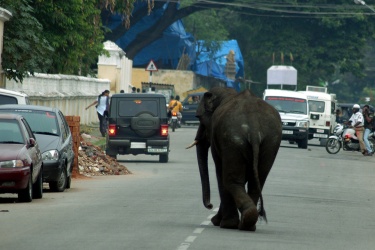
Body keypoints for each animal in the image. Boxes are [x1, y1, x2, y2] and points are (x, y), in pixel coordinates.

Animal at [188, 87, 282, 231]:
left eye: (199, 118)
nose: (210, 205)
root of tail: (254, 127)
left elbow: (220, 171)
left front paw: (219, 222)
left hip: (232, 140)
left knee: (230, 180)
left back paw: (235, 224)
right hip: (270, 142)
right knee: (257, 181)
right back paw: (248, 224)